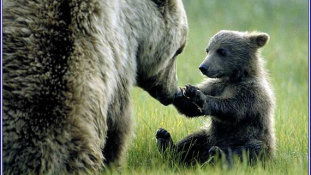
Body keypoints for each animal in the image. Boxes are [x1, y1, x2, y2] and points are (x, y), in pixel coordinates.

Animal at [157, 30, 276, 165]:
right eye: (207, 50)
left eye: (221, 51)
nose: (203, 67)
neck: (234, 78)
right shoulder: (215, 86)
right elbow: (191, 109)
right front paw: (183, 90)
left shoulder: (251, 92)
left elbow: (234, 109)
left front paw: (199, 96)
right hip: (208, 137)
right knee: (192, 141)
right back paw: (165, 141)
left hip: (257, 141)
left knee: (250, 149)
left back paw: (219, 154)